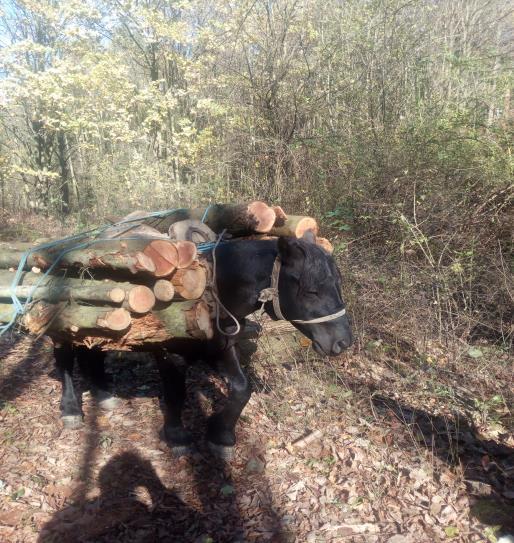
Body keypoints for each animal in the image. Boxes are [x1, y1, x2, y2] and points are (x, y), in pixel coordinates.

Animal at [56, 236, 352, 456]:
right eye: (312, 291)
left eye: (338, 284)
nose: (344, 342)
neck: (210, 297)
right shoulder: (170, 355)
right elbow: (175, 394)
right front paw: (177, 437)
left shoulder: (221, 348)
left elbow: (242, 389)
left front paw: (221, 435)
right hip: (65, 328)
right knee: (65, 363)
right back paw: (71, 410)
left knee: (90, 355)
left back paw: (104, 395)